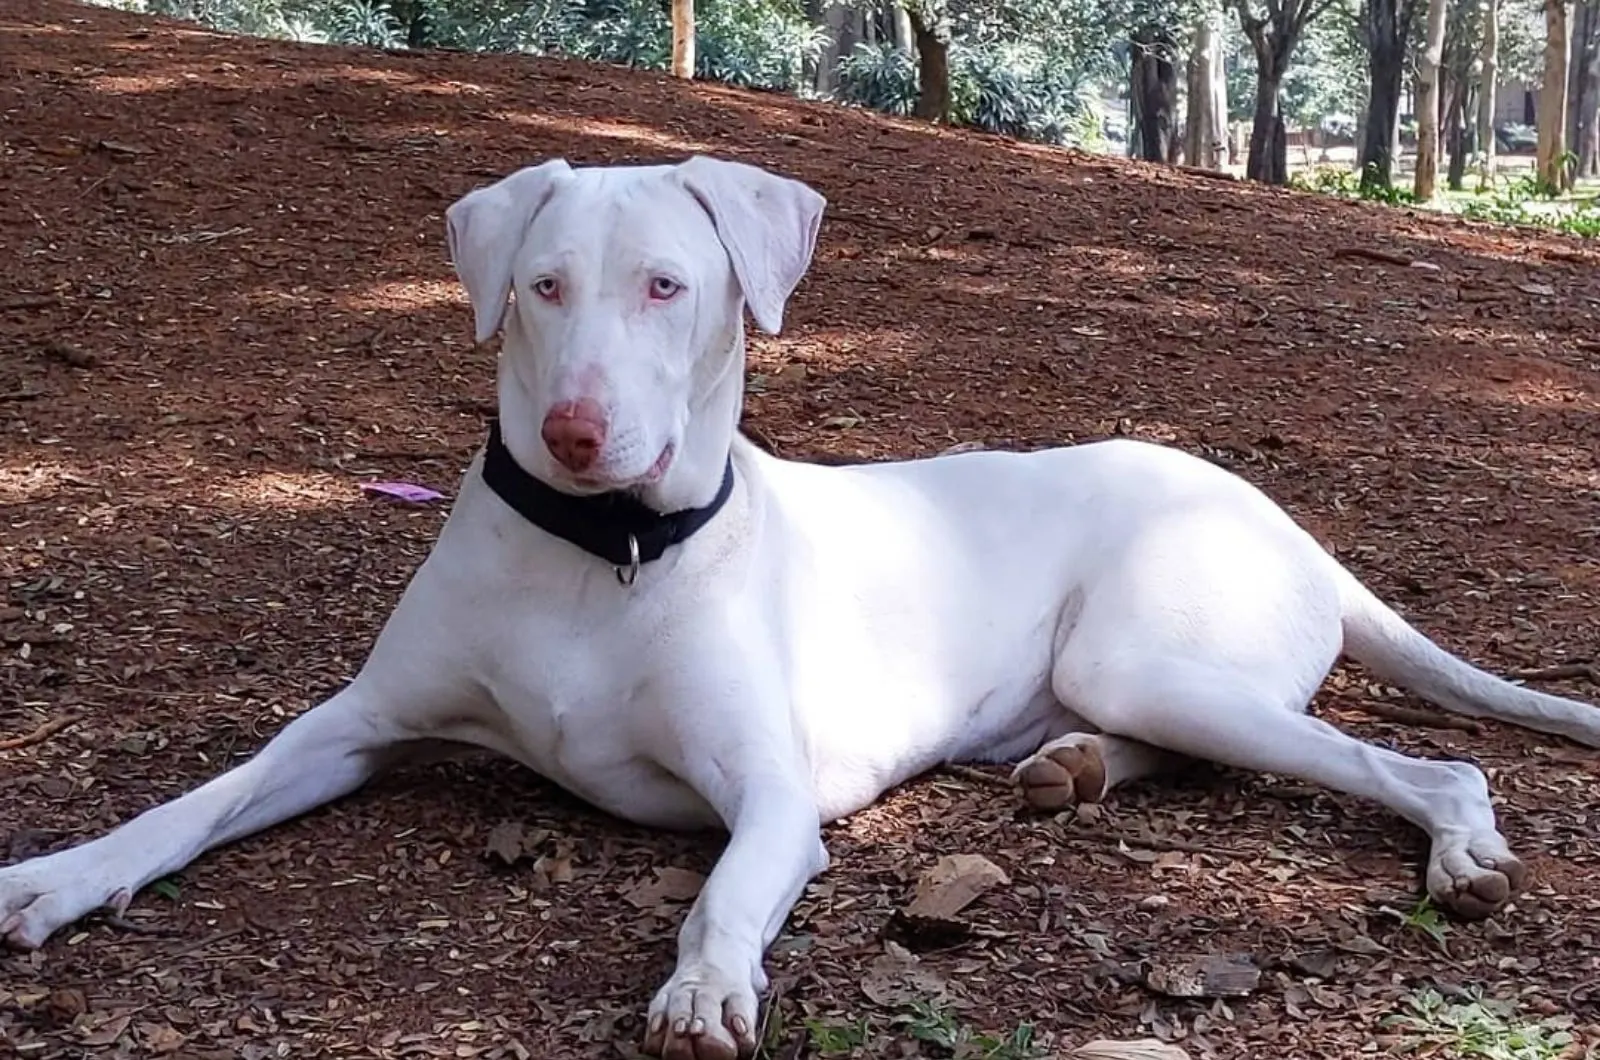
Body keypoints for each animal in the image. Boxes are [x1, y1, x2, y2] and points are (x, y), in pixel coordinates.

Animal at [3, 156, 1600, 1060]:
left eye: (668, 287)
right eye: (542, 287)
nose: (578, 435)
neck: (606, 553)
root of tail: (1294, 527)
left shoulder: (770, 794)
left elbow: (723, 894)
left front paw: (705, 989)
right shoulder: (354, 725)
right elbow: (196, 800)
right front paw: (62, 874)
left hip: (1151, 654)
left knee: (1426, 762)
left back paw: (1459, 848)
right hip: (1141, 681)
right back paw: (1070, 769)